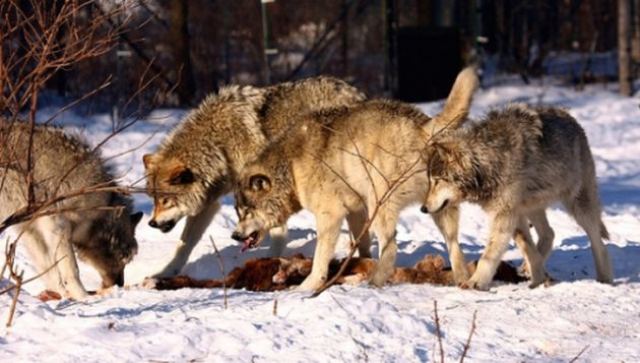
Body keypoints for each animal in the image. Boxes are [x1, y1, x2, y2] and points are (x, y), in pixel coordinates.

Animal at [0, 123, 142, 300]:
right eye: (124, 259)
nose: (119, 285)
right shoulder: (57, 226)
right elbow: (72, 269)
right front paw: (83, 297)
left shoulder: (29, 230)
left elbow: (48, 269)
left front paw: (61, 295)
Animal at [141, 76, 370, 276]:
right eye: (154, 200)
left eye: (166, 200)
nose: (151, 223)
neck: (219, 146)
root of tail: (358, 94)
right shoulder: (209, 203)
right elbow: (183, 245)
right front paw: (165, 273)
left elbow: (276, 232)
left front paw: (270, 262)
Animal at [232, 67, 478, 292]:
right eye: (238, 212)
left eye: (247, 212)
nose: (234, 236)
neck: (290, 166)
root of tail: (422, 126)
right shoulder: (356, 212)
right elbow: (363, 246)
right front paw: (359, 263)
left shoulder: (330, 216)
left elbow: (320, 259)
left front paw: (307, 286)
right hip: (438, 208)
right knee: (454, 246)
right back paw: (461, 281)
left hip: (380, 205)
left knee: (391, 247)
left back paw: (374, 282)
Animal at [422, 104, 612, 290]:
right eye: (430, 181)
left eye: (437, 181)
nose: (423, 208)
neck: (487, 160)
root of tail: (571, 118)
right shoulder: (514, 214)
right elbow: (527, 247)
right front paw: (537, 279)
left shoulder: (504, 215)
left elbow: (488, 255)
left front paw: (475, 282)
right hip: (531, 207)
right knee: (549, 234)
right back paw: (529, 269)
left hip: (578, 206)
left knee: (598, 243)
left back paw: (605, 279)